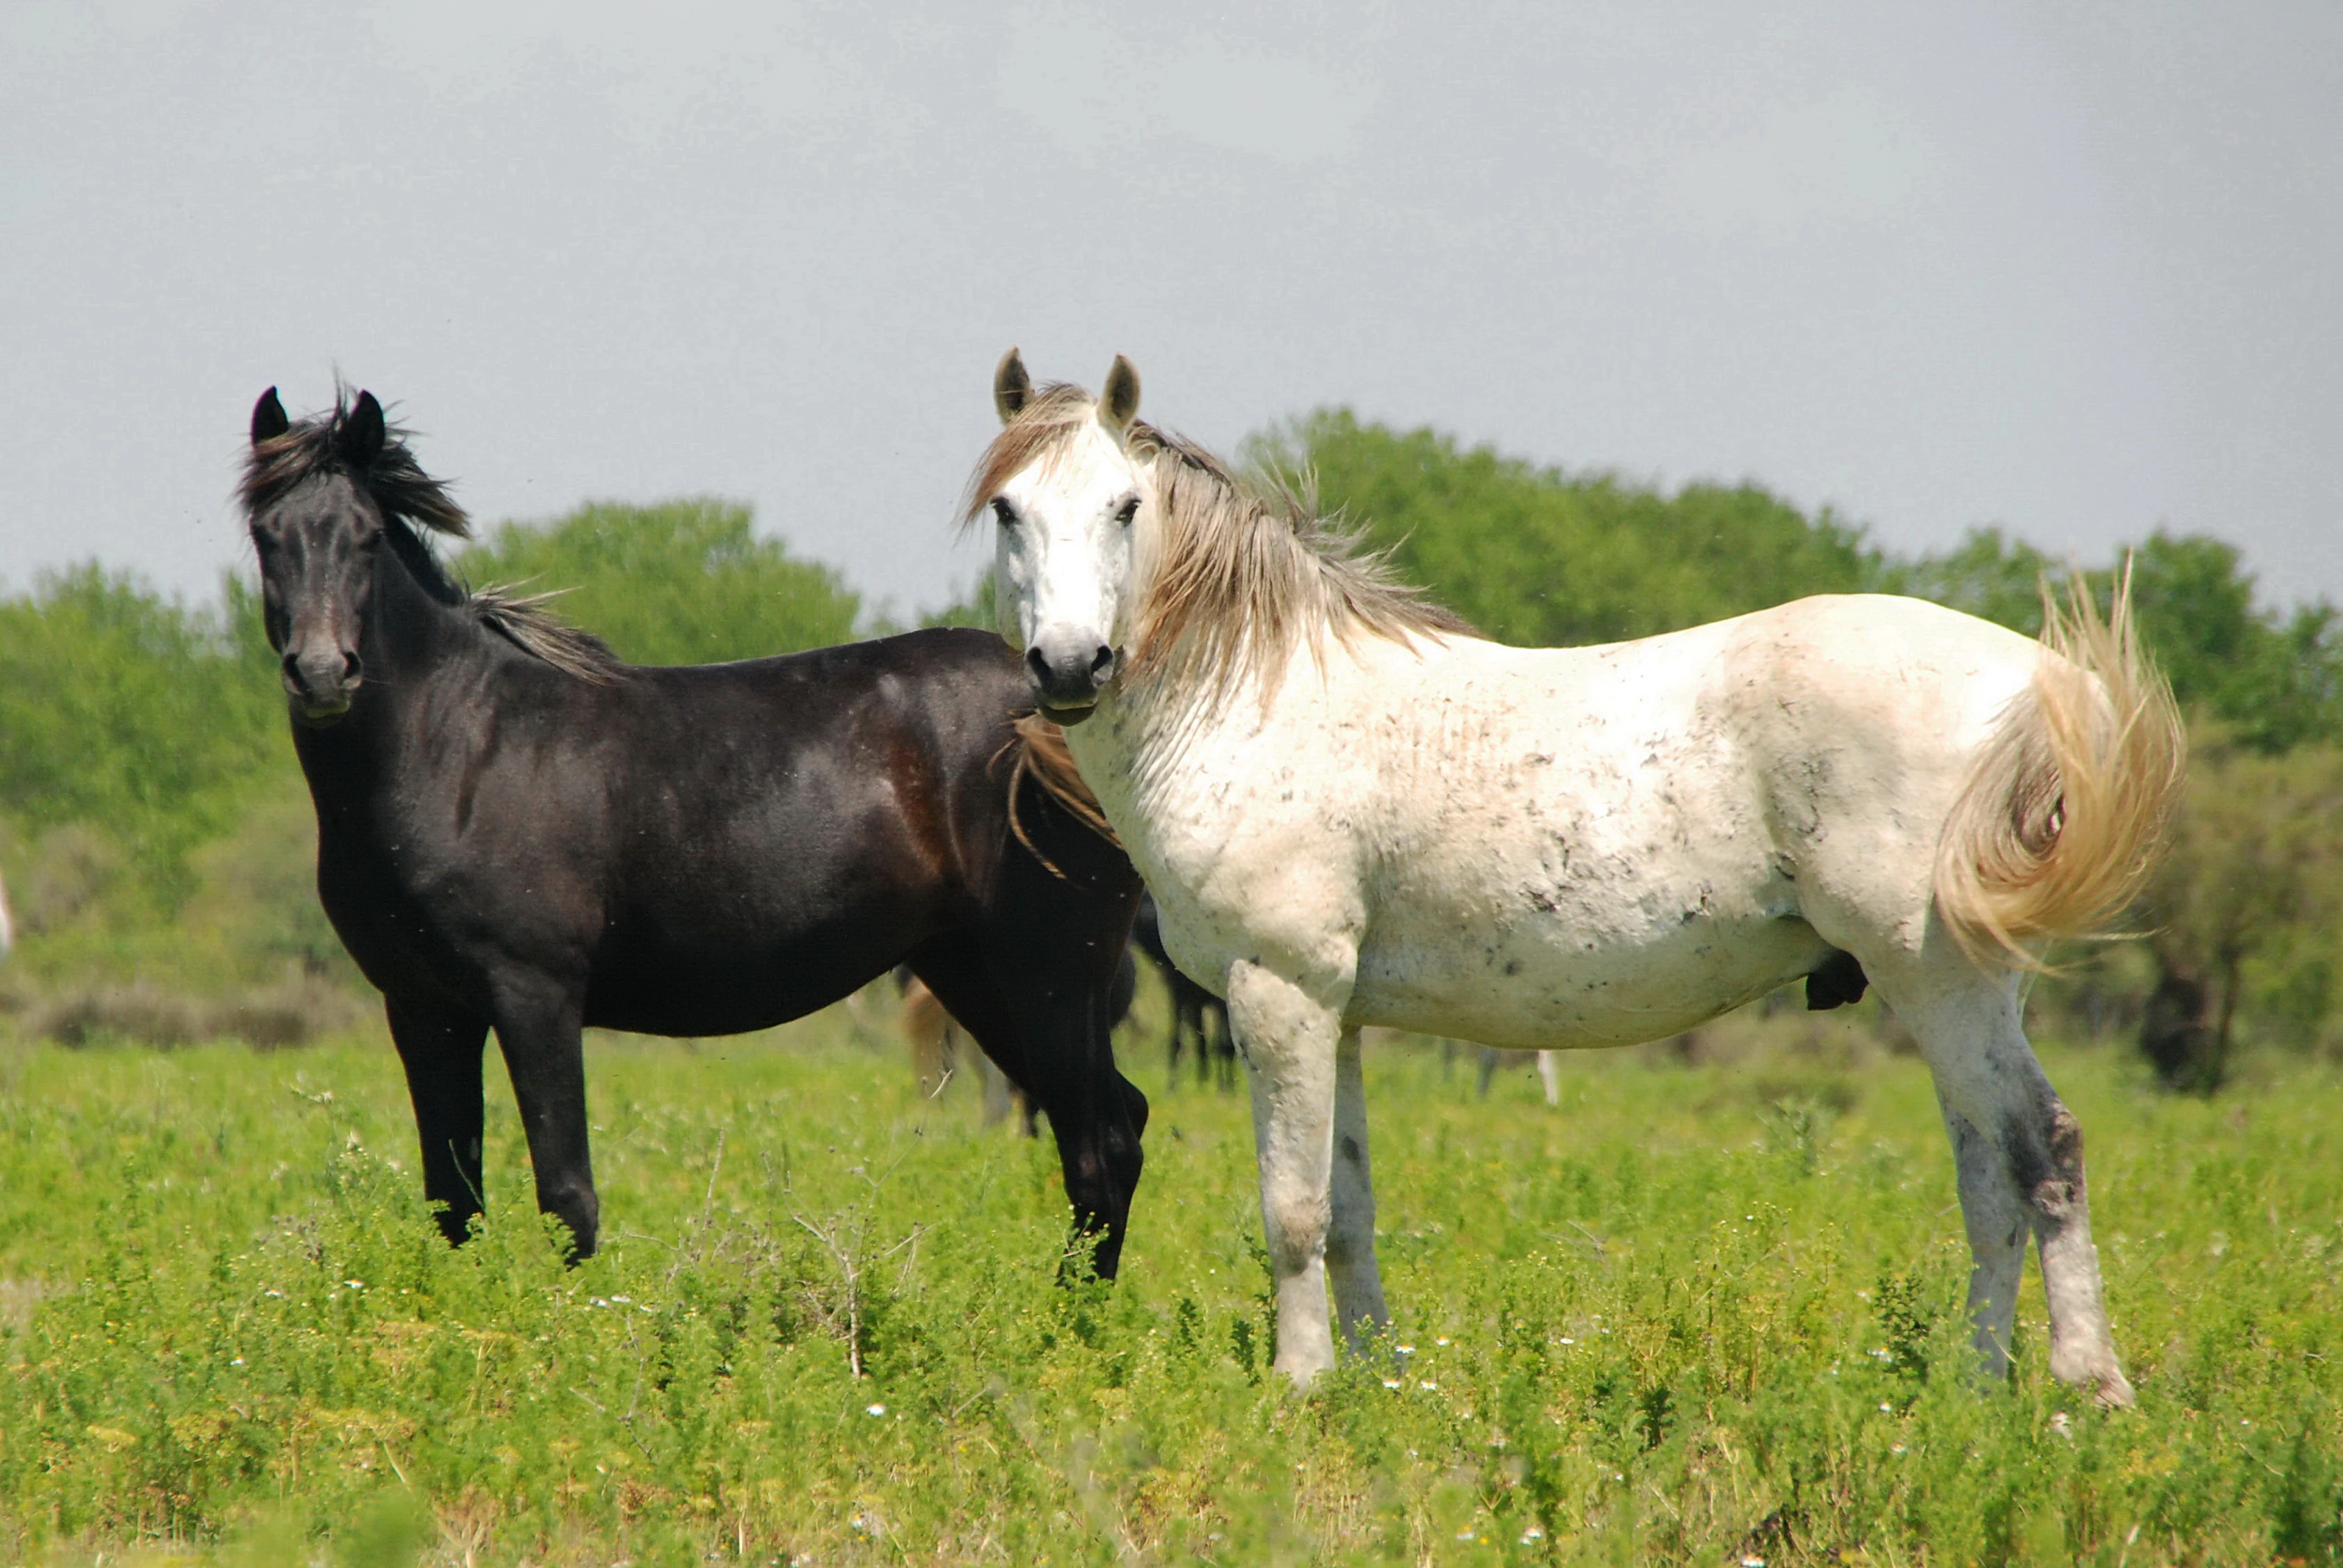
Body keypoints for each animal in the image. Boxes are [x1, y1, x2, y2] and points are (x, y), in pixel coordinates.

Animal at [241, 386, 1149, 1275]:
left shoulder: (534, 994)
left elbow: (567, 1198)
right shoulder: (425, 1008)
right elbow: (453, 1202)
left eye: (365, 537)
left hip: (1052, 976)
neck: (459, 743)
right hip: (975, 973)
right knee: (1114, 1125)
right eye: (265, 535)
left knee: (1099, 1144)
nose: (321, 675)